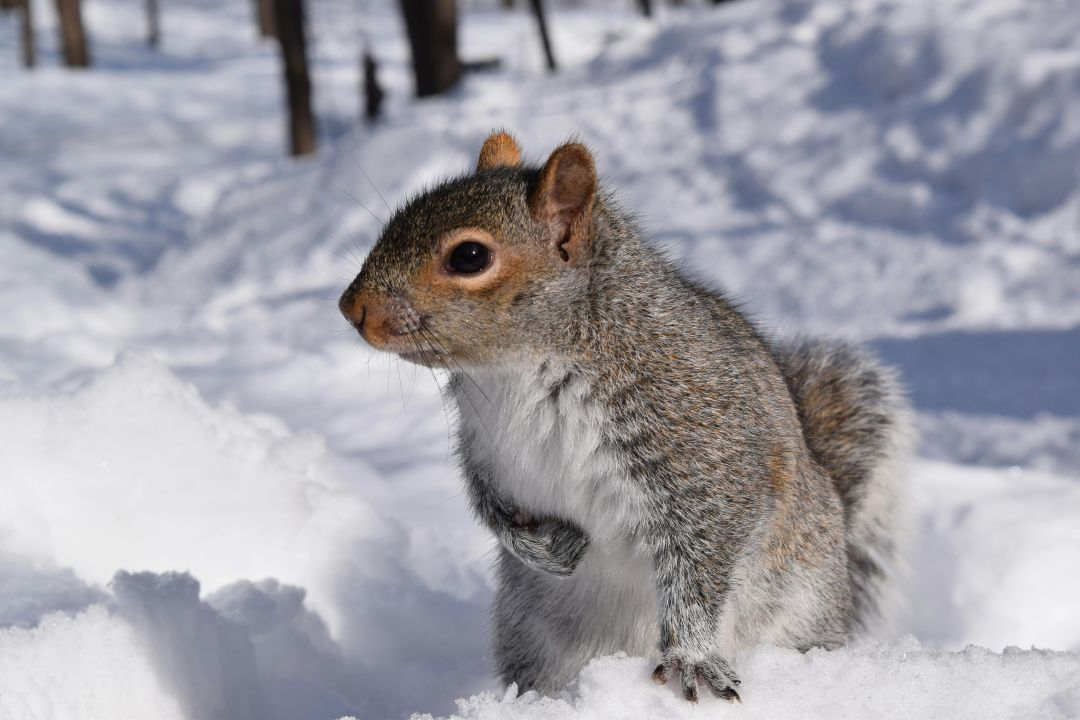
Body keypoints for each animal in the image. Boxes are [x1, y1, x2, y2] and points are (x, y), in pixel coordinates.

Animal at [339, 131, 910, 703]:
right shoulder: (483, 446)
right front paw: (544, 548)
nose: (350, 307)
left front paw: (691, 656)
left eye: (470, 256)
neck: (518, 370)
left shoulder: (704, 443)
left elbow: (702, 553)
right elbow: (488, 504)